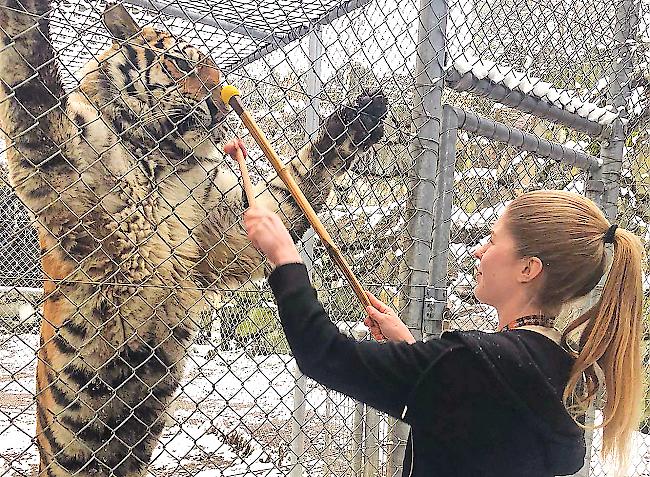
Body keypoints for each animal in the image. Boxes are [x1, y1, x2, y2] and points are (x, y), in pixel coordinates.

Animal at [0, 1, 384, 474]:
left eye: (219, 75)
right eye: (182, 64)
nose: (222, 105)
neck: (165, 153)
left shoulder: (221, 231)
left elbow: (289, 184)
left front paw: (357, 122)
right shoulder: (63, 168)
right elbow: (31, 81)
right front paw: (26, 18)